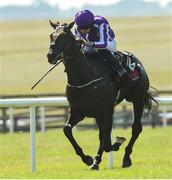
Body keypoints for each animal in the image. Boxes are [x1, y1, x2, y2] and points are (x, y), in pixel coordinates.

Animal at [46, 21, 157, 170]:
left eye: (65, 37)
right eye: (51, 35)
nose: (50, 55)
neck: (85, 77)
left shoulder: (106, 110)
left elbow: (105, 139)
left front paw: (97, 160)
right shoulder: (78, 112)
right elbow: (67, 130)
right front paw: (88, 159)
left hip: (137, 99)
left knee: (136, 128)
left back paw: (126, 158)